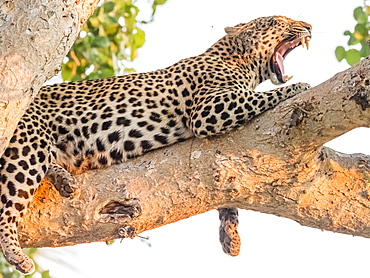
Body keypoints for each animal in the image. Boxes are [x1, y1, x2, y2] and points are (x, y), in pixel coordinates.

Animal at [0, 15, 312, 274]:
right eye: (279, 20)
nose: (309, 26)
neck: (239, 60)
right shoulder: (208, 109)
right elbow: (259, 97)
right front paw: (300, 87)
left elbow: (225, 191)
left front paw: (230, 236)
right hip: (27, 143)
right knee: (8, 203)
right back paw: (16, 253)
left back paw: (64, 181)